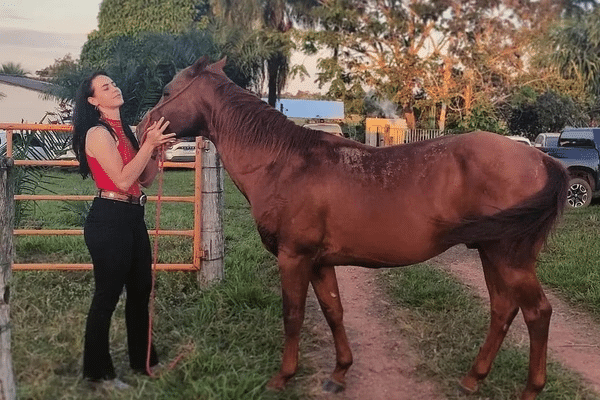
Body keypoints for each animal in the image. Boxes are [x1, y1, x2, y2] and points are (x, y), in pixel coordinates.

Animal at [138, 57, 568, 400]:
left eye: (167, 91)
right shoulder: (319, 262)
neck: (282, 161)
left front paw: (283, 377)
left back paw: (530, 389)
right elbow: (333, 311)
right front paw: (339, 372)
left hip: (510, 259)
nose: (141, 129)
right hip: (491, 253)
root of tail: (543, 160)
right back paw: (472, 379)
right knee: (502, 310)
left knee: (537, 313)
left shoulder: (293, 257)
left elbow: (293, 315)